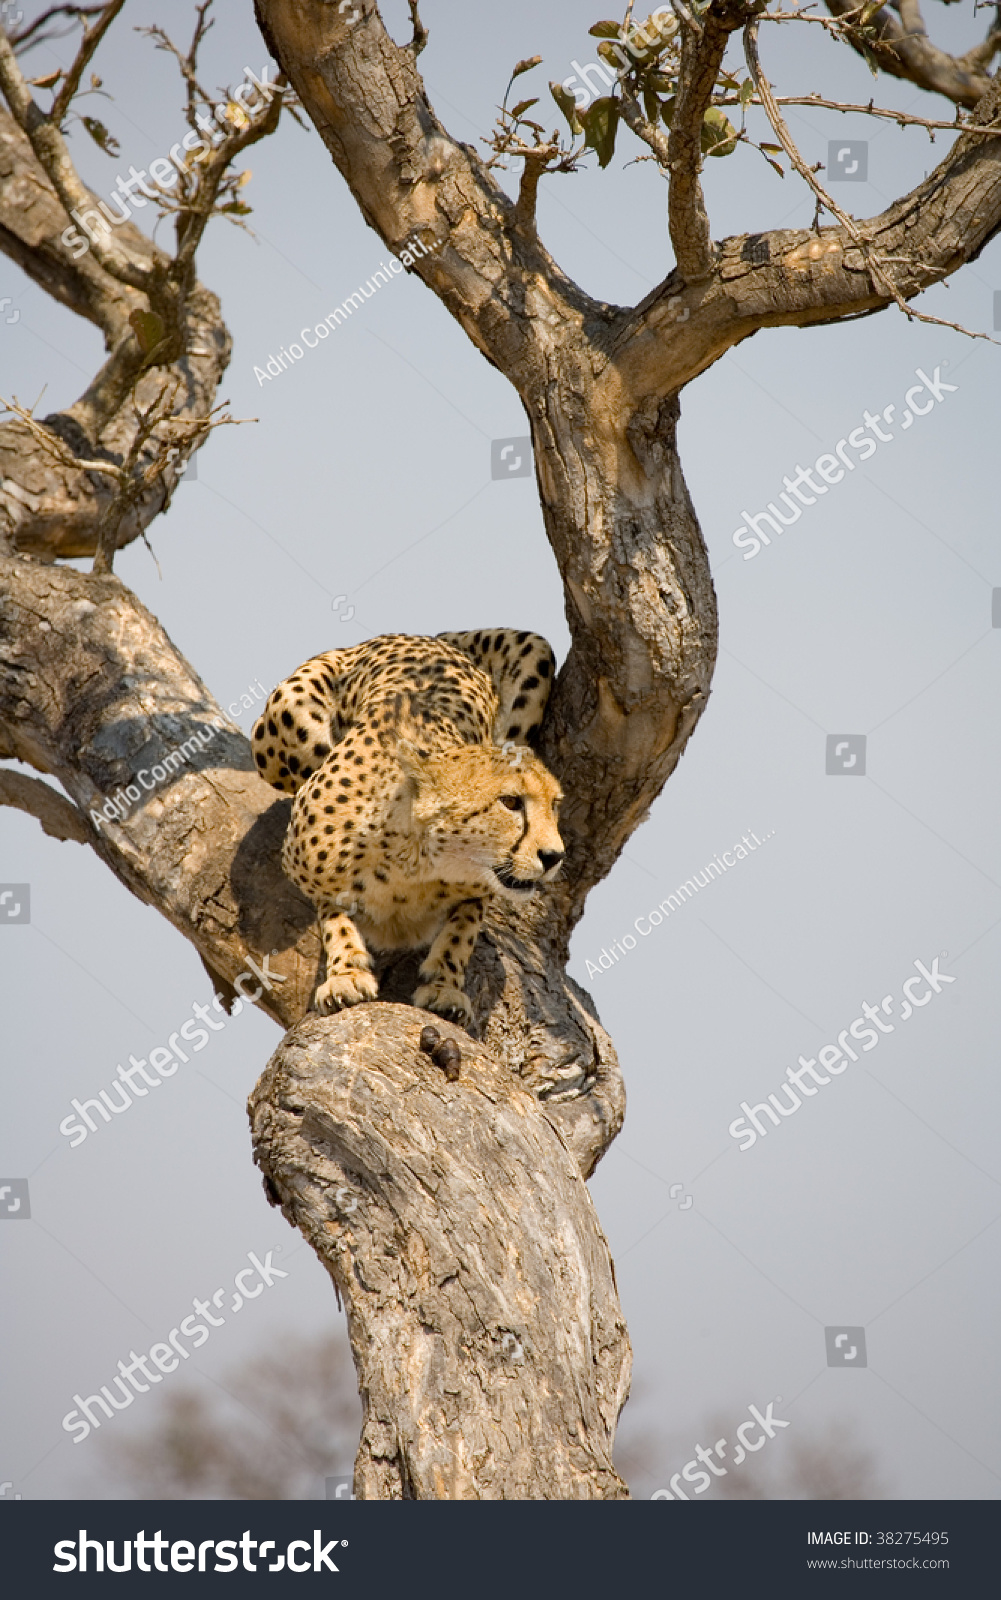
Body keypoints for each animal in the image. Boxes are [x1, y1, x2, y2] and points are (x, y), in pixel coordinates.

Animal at [249, 627, 562, 1024]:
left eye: (555, 805)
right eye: (511, 802)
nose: (554, 856)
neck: (414, 861)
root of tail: (427, 636)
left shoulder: (478, 889)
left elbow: (464, 926)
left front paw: (445, 984)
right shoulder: (305, 862)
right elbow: (333, 914)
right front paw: (346, 972)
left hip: (536, 655)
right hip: (287, 721)